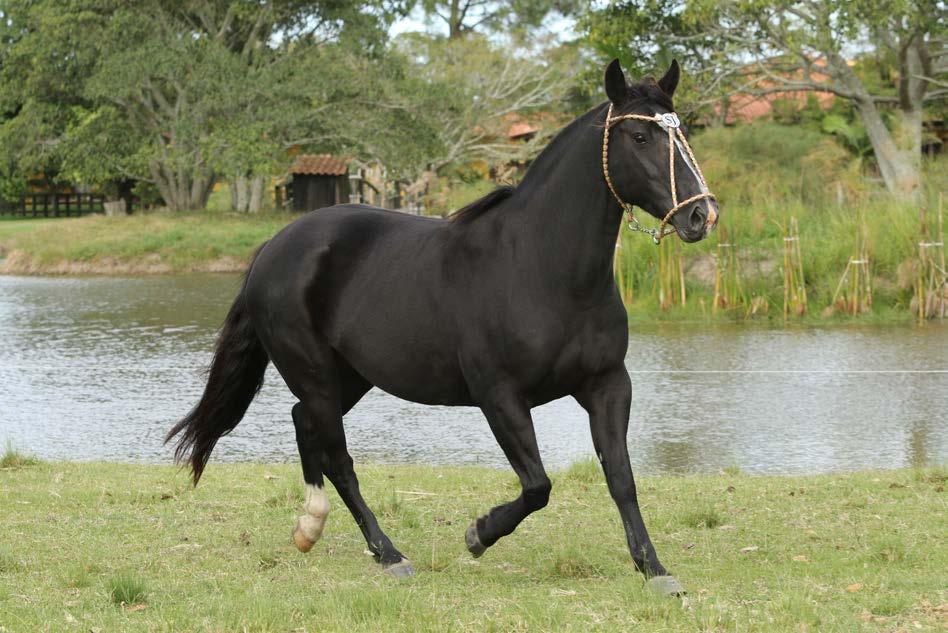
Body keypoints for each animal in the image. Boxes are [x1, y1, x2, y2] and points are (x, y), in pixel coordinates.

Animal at [168, 59, 720, 592]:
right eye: (641, 136)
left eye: (684, 132)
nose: (701, 215)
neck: (540, 268)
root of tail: (274, 247)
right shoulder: (500, 395)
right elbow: (537, 485)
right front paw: (479, 534)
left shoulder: (607, 385)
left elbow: (621, 477)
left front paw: (654, 569)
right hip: (316, 374)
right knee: (338, 458)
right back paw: (389, 555)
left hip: (349, 378)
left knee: (305, 424)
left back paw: (310, 528)